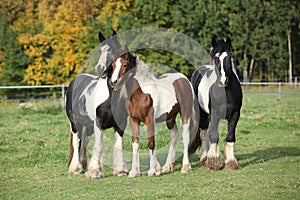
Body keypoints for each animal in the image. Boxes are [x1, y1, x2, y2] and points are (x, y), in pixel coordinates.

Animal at [65, 31, 127, 178]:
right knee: (76, 142)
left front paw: (120, 170)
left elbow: (119, 145)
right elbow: (98, 145)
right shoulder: (99, 123)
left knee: (84, 141)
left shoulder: (120, 124)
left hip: (88, 125)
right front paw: (95, 172)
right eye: (100, 50)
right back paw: (76, 168)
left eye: (112, 50)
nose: (100, 68)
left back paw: (83, 166)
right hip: (75, 123)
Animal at [110, 48, 199, 178]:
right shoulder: (133, 120)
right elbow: (135, 144)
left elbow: (151, 143)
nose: (113, 82)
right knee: (174, 135)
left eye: (125, 64)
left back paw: (185, 167)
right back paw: (168, 166)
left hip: (185, 115)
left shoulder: (149, 120)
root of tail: (184, 79)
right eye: (113, 65)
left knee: (185, 136)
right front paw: (134, 172)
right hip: (170, 118)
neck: (141, 93)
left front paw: (153, 171)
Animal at [190, 35, 244, 170]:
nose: (223, 81)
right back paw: (204, 159)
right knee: (205, 134)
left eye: (229, 57)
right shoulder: (214, 113)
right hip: (204, 115)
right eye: (215, 58)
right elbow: (213, 135)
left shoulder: (235, 114)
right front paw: (212, 161)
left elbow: (230, 136)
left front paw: (231, 162)